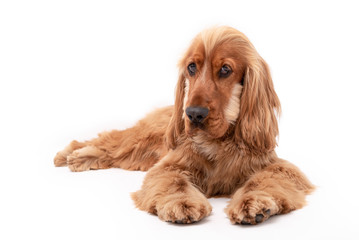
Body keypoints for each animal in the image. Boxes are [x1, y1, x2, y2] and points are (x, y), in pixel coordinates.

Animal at [54, 26, 316, 225]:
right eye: (192, 67)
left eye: (225, 69)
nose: (193, 114)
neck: (219, 142)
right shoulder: (170, 165)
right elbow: (175, 181)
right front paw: (182, 203)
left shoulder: (276, 166)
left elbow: (264, 179)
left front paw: (254, 203)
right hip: (140, 139)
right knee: (110, 140)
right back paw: (71, 154)